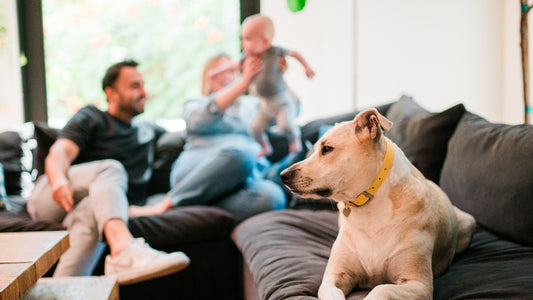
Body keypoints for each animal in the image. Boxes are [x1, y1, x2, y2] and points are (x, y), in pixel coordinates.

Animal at [278, 109, 474, 298]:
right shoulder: (333, 278)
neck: (371, 209)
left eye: (327, 149)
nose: (283, 175)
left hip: (468, 223)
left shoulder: (419, 284)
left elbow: (382, 289)